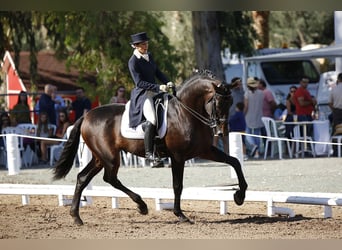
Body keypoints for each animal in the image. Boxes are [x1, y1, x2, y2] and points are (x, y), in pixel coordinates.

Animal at [52, 70, 246, 225]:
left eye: (231, 102)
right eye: (218, 102)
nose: (222, 132)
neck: (186, 112)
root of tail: (86, 116)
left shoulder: (204, 150)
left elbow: (235, 162)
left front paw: (239, 196)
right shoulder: (178, 156)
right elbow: (177, 185)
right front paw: (180, 214)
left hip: (100, 157)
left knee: (83, 178)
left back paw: (76, 216)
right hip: (110, 157)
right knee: (110, 178)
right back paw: (142, 205)